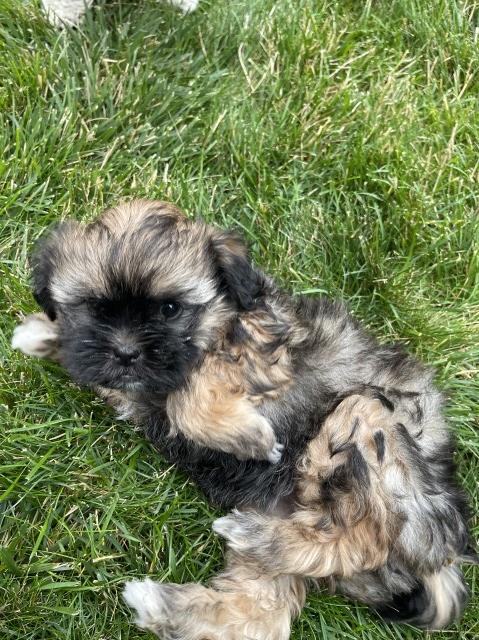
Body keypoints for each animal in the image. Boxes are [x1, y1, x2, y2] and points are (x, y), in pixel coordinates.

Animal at [11, 200, 476, 640]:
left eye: (170, 308)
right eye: (95, 307)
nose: (126, 352)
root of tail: (444, 550)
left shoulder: (262, 350)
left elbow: (192, 391)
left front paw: (250, 436)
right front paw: (45, 334)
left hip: (369, 424)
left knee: (363, 536)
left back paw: (246, 532)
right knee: (259, 615)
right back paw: (166, 601)